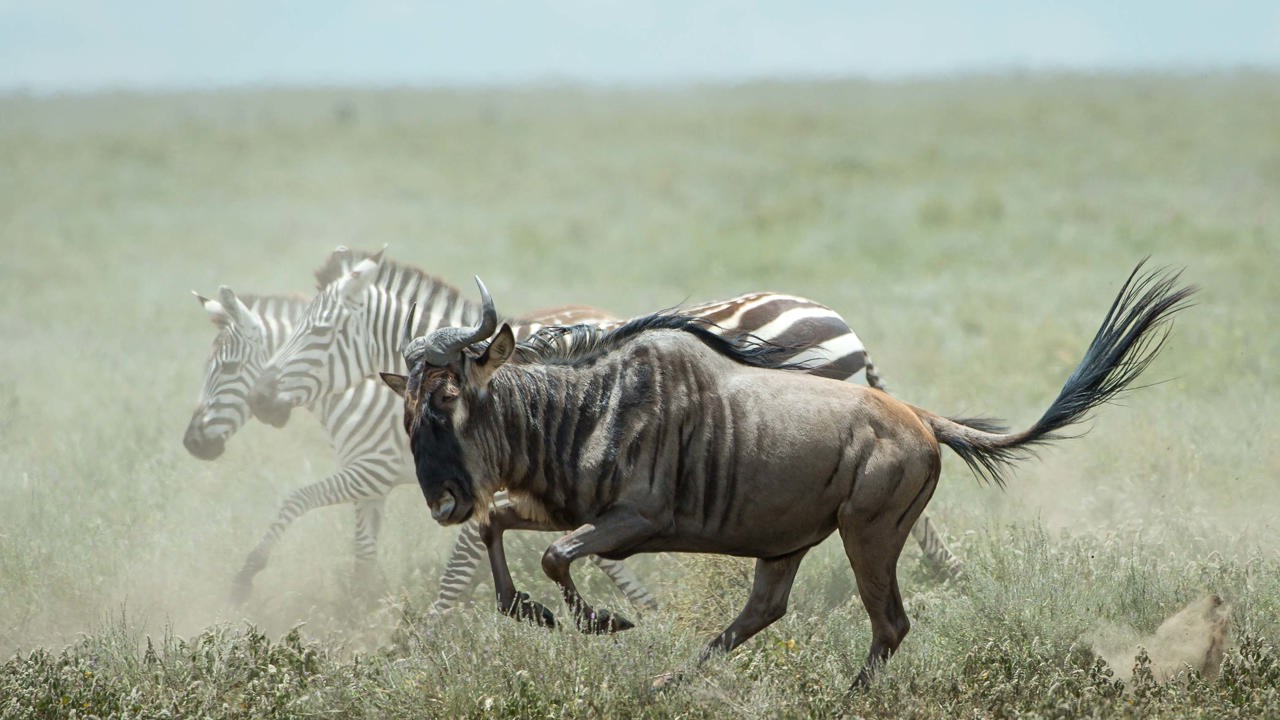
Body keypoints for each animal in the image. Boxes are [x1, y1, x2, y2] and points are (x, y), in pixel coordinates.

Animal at [386, 265, 1194, 690]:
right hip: (787, 542)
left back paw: (848, 697)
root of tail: (918, 417)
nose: (442, 502)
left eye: (450, 401)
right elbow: (500, 529)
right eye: (408, 412)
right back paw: (671, 683)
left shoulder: (634, 521)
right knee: (763, 613)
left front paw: (602, 621)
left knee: (888, 622)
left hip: (868, 533)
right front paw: (540, 614)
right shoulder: (561, 505)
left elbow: (556, 558)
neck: (585, 406)